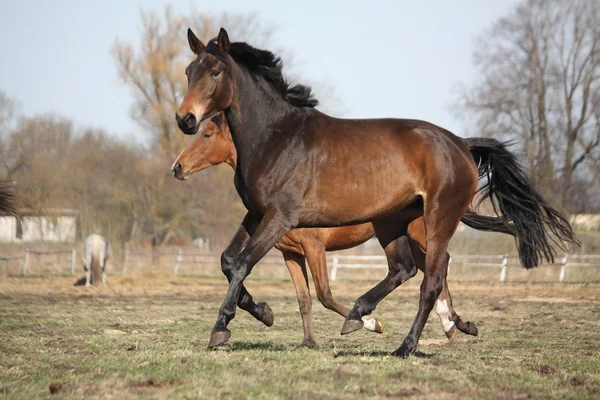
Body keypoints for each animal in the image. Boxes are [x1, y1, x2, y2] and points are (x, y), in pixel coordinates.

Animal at [176, 29, 580, 358]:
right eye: (188, 71)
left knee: (430, 279)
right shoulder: (258, 214)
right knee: (404, 269)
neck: (276, 137)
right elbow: (229, 262)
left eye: (215, 72)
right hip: (391, 221)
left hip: (437, 219)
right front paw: (263, 312)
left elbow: (246, 263)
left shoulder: (282, 218)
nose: (185, 120)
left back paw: (405, 345)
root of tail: (461, 144)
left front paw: (220, 328)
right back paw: (365, 316)